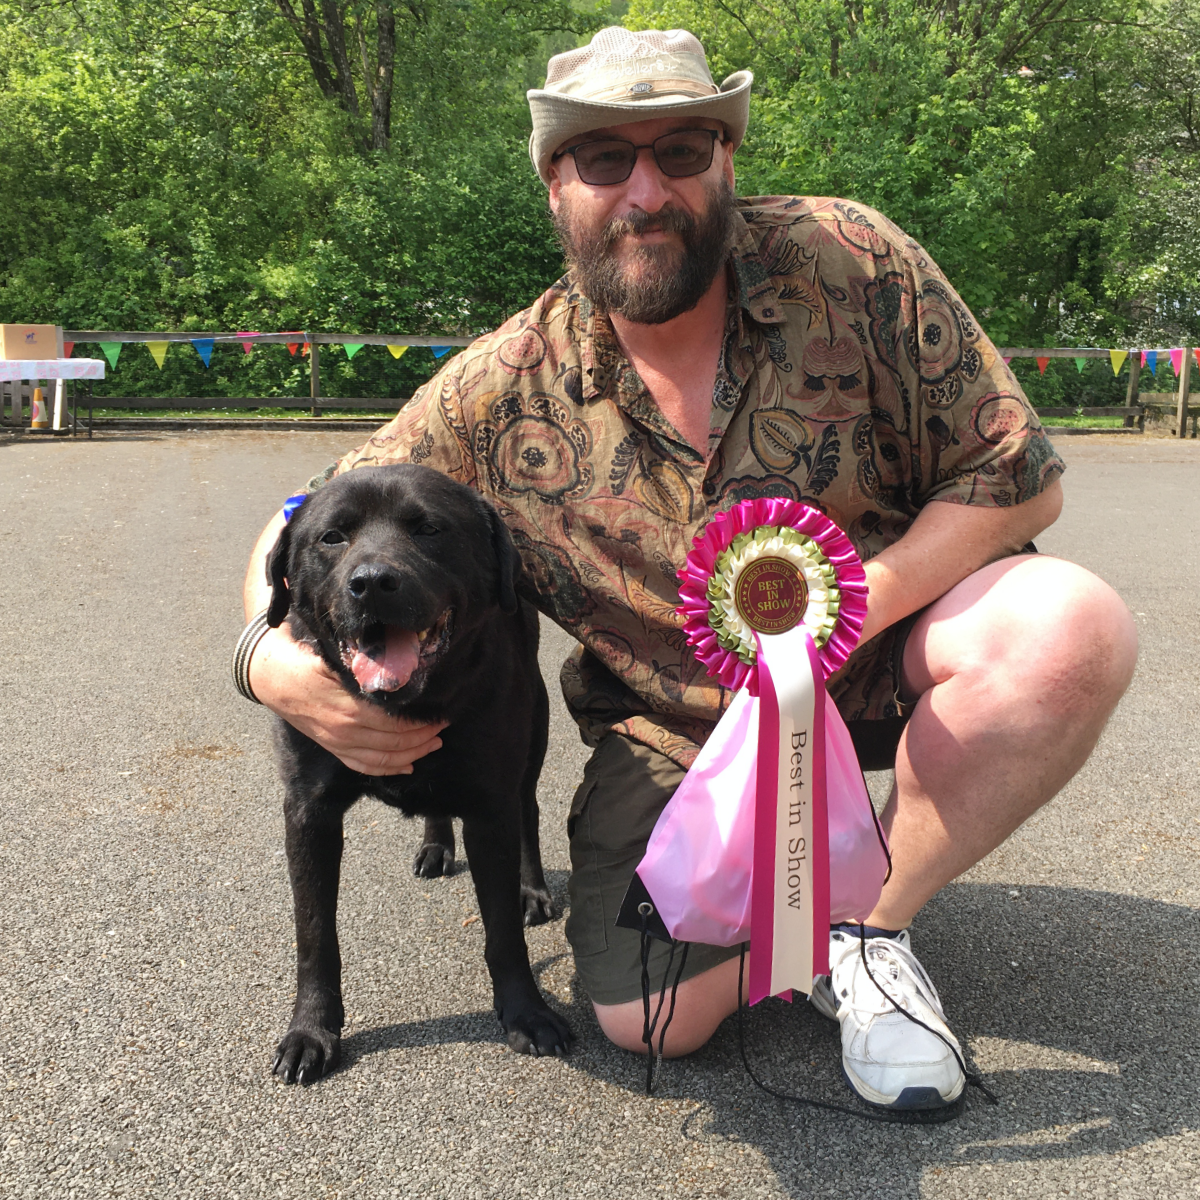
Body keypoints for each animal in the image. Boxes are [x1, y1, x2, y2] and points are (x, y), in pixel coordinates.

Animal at [266, 463, 571, 1084]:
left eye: (430, 529)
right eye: (332, 537)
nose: (372, 582)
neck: (405, 705)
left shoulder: (490, 804)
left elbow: (502, 930)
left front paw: (527, 1013)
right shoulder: (307, 810)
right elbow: (314, 932)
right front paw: (311, 1031)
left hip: (533, 735)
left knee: (528, 811)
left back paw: (533, 890)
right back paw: (435, 846)